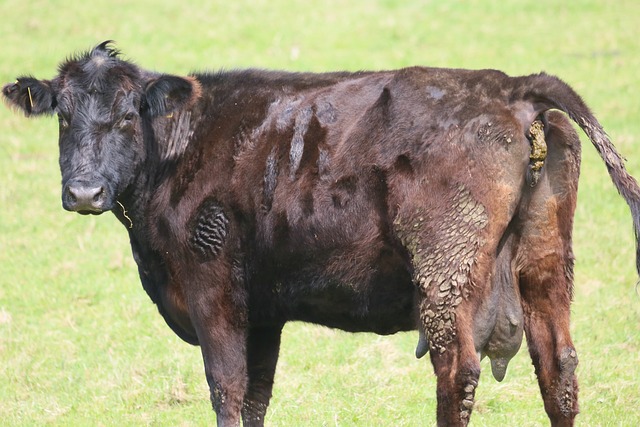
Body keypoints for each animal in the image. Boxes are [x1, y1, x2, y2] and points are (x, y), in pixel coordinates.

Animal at [5, 41, 640, 427]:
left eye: (126, 115)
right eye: (64, 115)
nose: (84, 192)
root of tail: (510, 85)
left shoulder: (214, 287)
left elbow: (226, 386)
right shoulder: (262, 311)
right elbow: (256, 394)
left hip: (447, 270)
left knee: (457, 370)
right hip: (546, 263)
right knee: (558, 366)